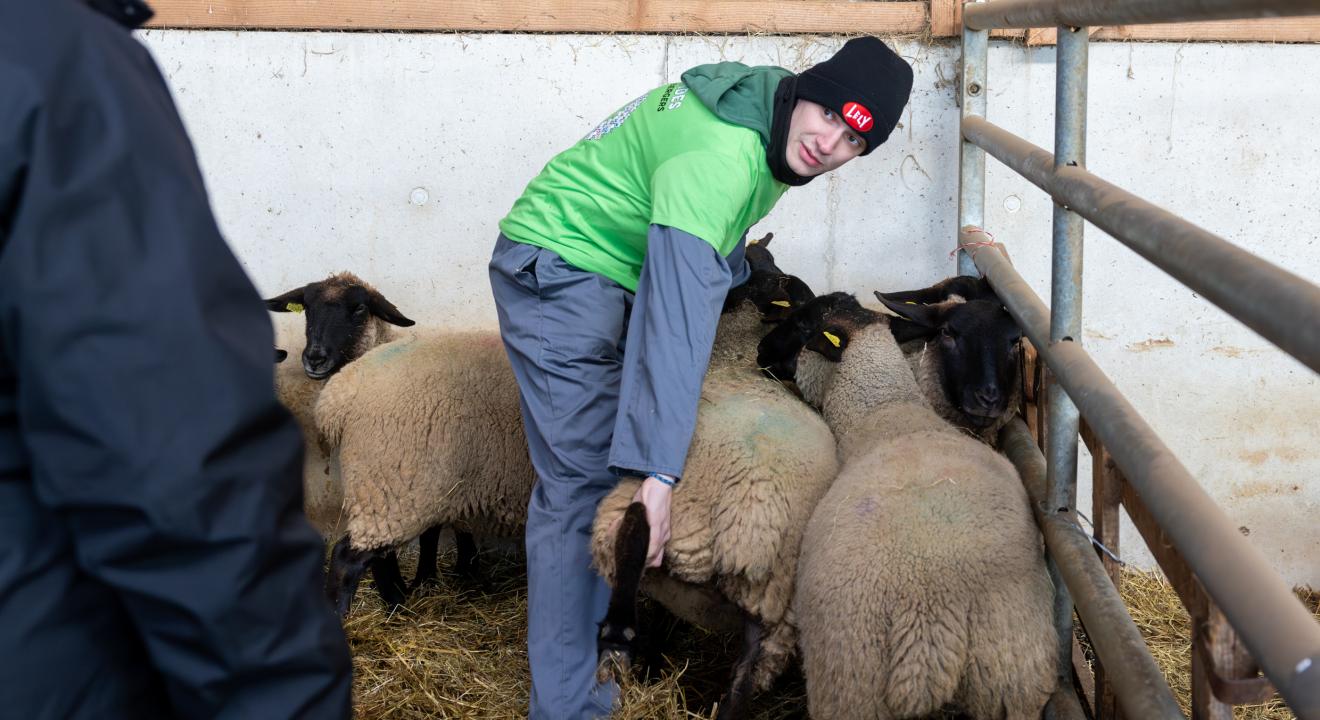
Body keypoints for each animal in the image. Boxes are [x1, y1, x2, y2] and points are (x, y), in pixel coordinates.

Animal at [755, 290, 1050, 718]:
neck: (885, 408)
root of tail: (929, 631)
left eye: (802, 323)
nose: (760, 350)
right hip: (1014, 684)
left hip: (851, 686)